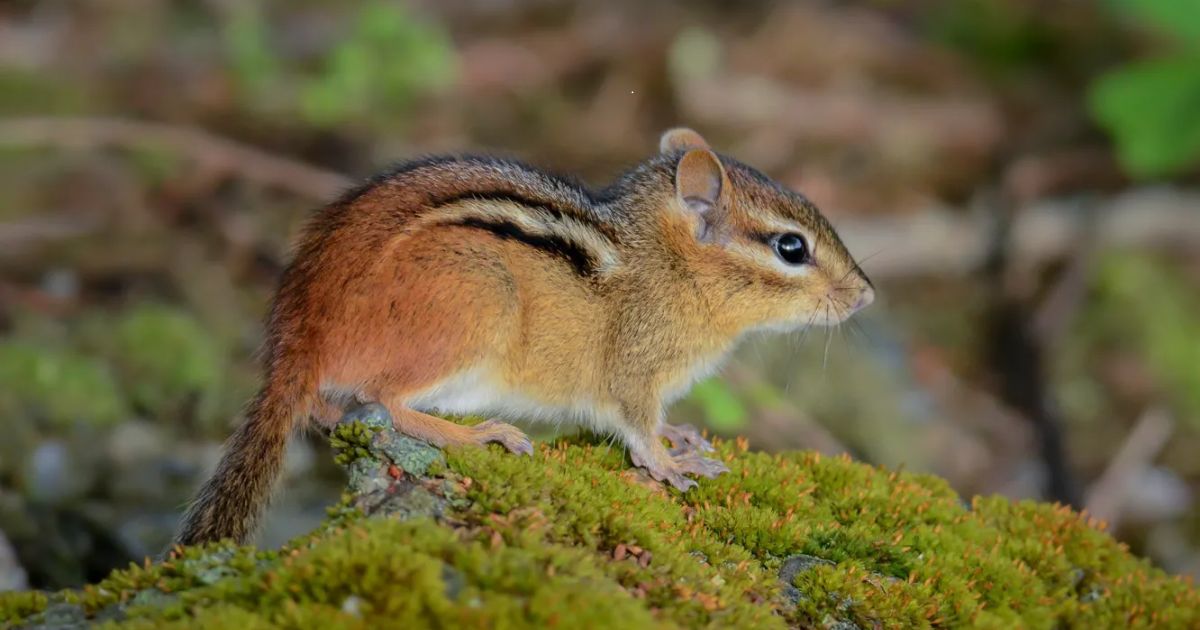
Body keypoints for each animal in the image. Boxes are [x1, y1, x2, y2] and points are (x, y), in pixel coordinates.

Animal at [173, 128, 874, 547]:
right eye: (791, 247)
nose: (866, 294)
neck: (666, 266)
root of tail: (296, 339)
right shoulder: (633, 371)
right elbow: (636, 428)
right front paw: (669, 462)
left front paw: (683, 437)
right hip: (476, 306)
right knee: (388, 404)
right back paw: (480, 435)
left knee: (329, 408)